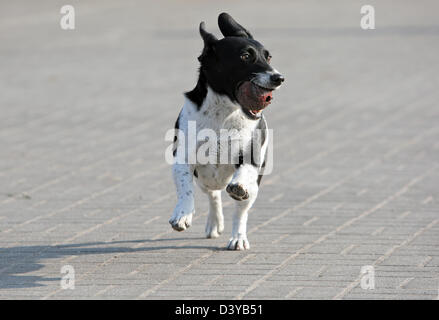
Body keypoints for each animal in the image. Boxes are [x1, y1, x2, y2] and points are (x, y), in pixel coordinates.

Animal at [168, 13, 286, 250]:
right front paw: (182, 214)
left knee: (241, 211)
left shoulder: (252, 155)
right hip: (205, 179)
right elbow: (185, 186)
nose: (278, 78)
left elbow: (245, 171)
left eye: (268, 57)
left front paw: (239, 185)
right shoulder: (182, 158)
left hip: (254, 188)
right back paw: (214, 223)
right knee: (213, 195)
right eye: (245, 56)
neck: (223, 113)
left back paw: (238, 237)